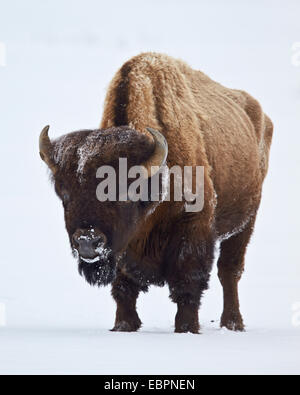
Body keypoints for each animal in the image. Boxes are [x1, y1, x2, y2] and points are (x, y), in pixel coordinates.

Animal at [38, 52, 274, 334]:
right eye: (64, 193)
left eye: (123, 192)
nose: (87, 241)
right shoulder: (123, 249)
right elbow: (124, 288)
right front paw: (124, 325)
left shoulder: (193, 231)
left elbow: (187, 285)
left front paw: (186, 328)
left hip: (245, 222)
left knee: (229, 271)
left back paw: (233, 323)